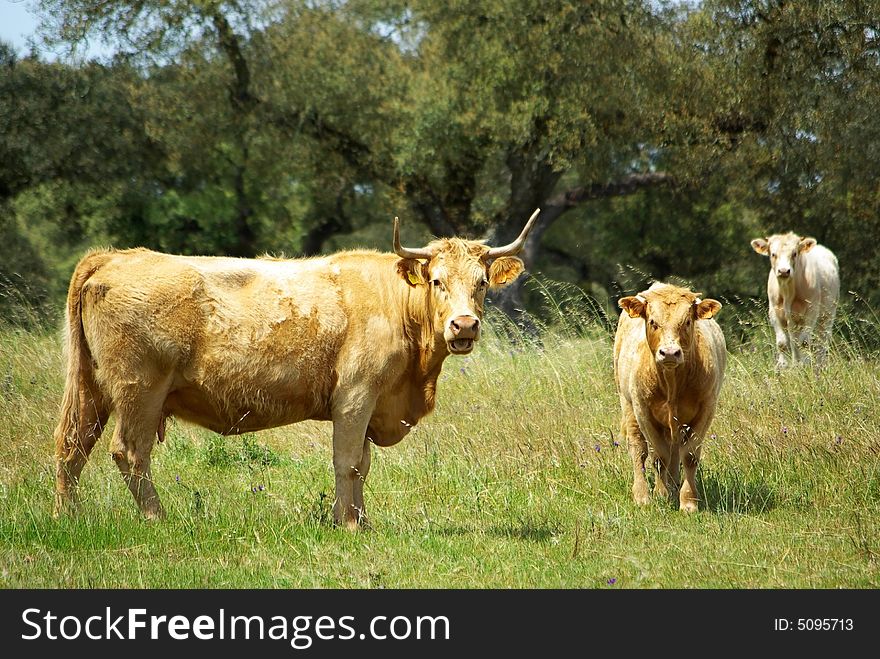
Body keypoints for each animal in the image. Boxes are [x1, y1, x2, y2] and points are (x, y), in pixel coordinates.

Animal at [55, 209, 540, 528]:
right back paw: (159, 519)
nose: (464, 325)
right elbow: (348, 461)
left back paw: (68, 517)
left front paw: (360, 521)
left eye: (482, 283)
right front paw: (348, 526)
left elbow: (362, 464)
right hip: (139, 390)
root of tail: (116, 256)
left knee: (72, 447)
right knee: (129, 452)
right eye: (438, 281)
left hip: (91, 389)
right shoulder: (356, 397)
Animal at [612, 282, 728, 512]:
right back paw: (642, 495)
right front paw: (660, 494)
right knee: (639, 449)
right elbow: (659, 455)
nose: (669, 353)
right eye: (653, 322)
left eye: (687, 321)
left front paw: (688, 501)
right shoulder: (643, 410)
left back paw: (674, 487)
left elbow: (689, 456)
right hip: (628, 404)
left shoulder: (706, 409)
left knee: (675, 450)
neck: (672, 382)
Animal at [748, 232, 840, 368]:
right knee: (794, 340)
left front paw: (805, 365)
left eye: (794, 253)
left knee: (821, 341)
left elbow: (804, 342)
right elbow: (782, 343)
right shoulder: (774, 311)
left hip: (828, 314)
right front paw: (783, 366)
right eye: (773, 254)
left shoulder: (812, 311)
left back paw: (817, 365)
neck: (788, 293)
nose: (784, 271)